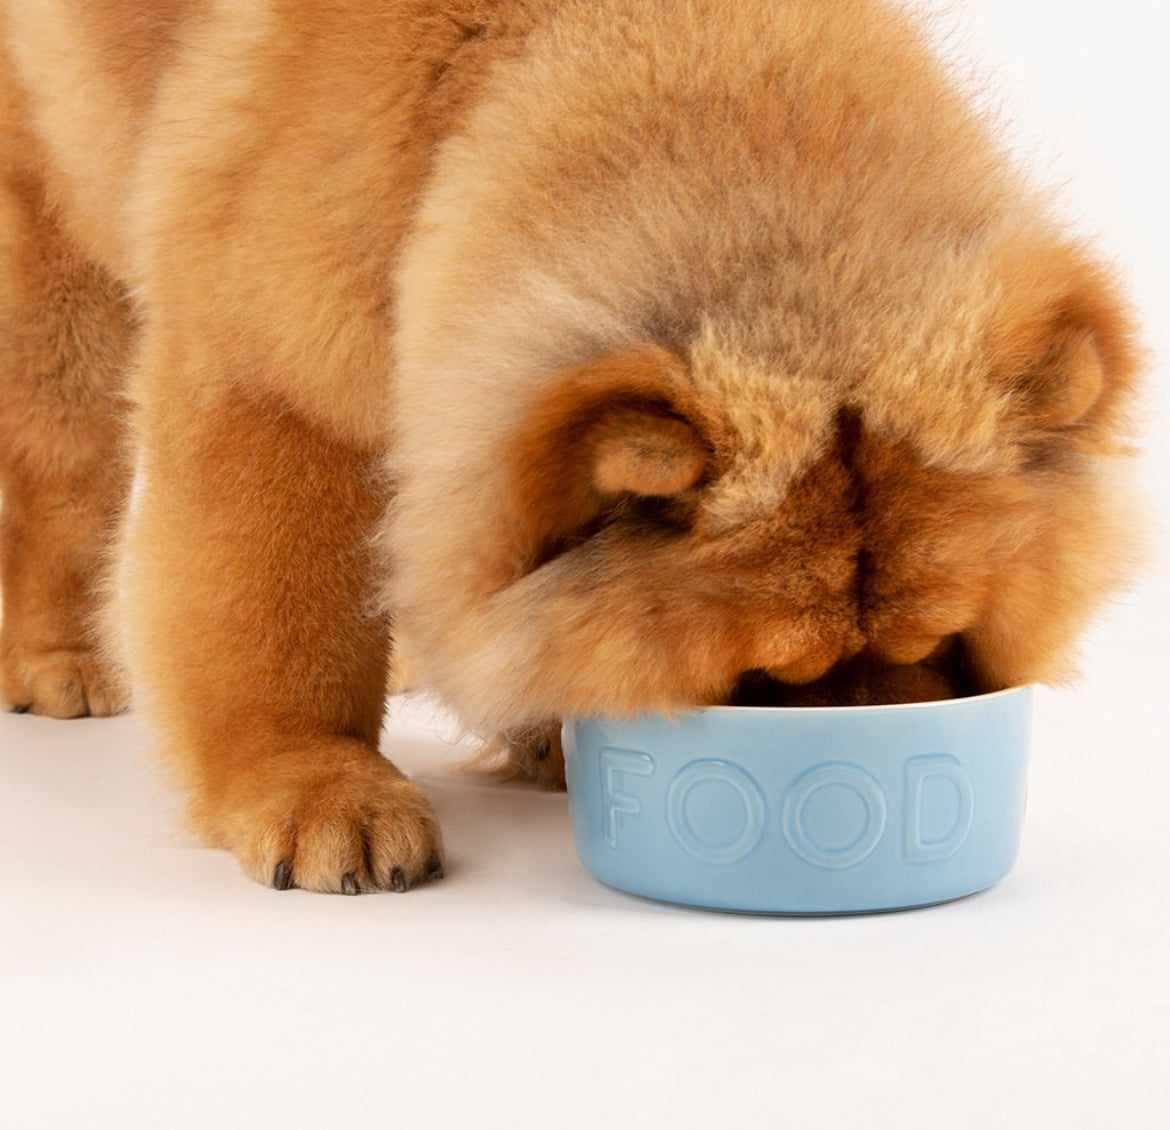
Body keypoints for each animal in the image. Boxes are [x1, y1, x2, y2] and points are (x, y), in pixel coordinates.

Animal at [0, 4, 1137, 898]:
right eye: (760, 681)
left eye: (941, 646)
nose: (856, 759)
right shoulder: (275, 385)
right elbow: (274, 624)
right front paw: (322, 789)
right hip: (56, 271)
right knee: (61, 474)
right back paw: (62, 662)